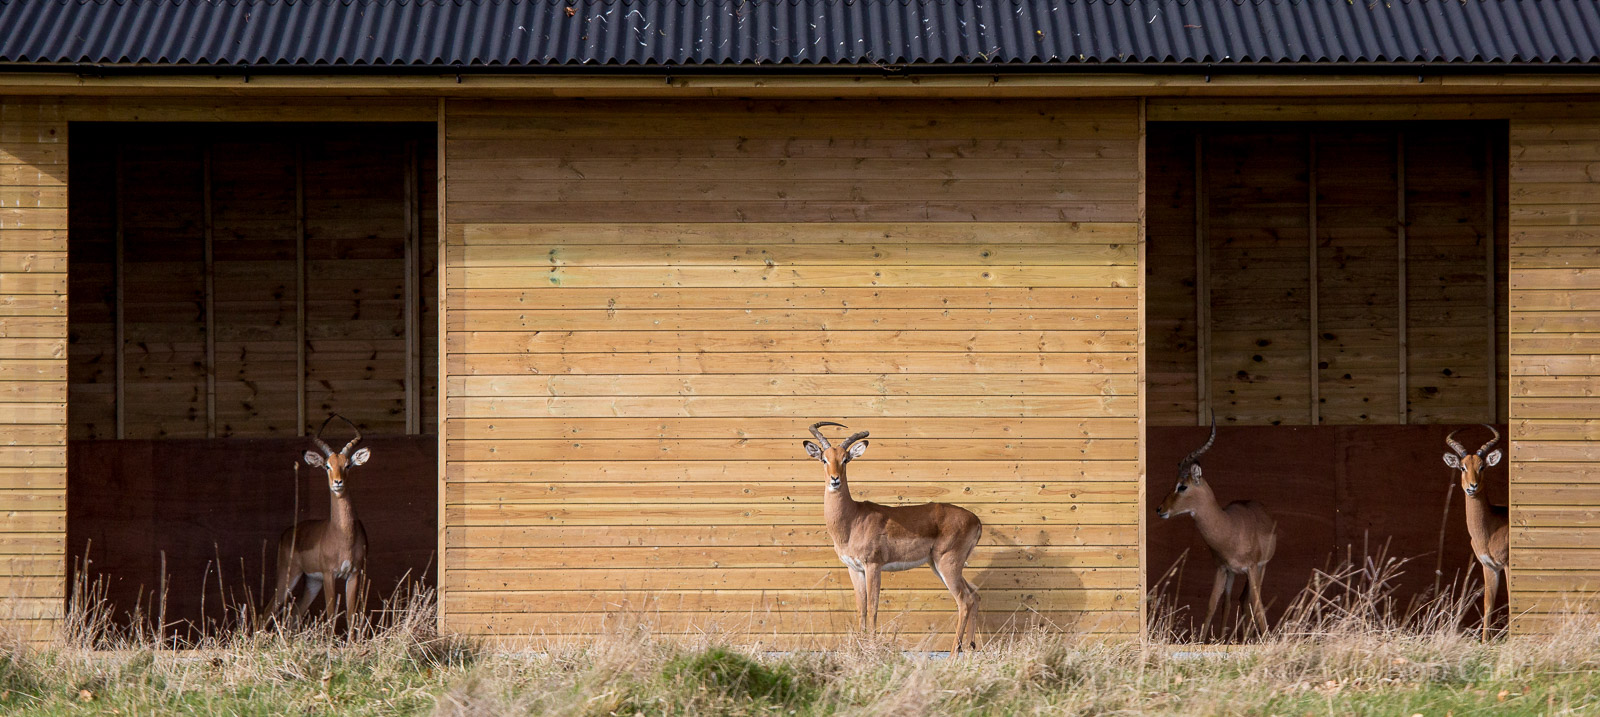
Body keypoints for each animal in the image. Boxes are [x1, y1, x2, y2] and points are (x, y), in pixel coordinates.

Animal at [261, 414, 370, 636]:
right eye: (327, 465)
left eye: (348, 465)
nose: (337, 482)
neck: (342, 535)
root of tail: (288, 532)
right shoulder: (329, 574)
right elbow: (331, 614)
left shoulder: (354, 574)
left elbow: (351, 615)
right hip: (289, 576)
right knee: (268, 611)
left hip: (312, 582)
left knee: (294, 613)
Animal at [802, 422, 985, 655]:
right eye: (824, 459)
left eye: (845, 459)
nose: (835, 480)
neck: (852, 520)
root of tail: (976, 520)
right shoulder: (855, 569)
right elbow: (861, 609)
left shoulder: (873, 565)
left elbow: (873, 607)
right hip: (940, 565)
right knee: (975, 595)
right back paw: (970, 649)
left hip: (948, 564)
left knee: (964, 600)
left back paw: (954, 654)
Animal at [1156, 421, 1277, 640]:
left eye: (1182, 486)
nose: (1160, 509)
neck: (1230, 527)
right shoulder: (1222, 568)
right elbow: (1212, 605)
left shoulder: (1252, 567)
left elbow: (1258, 606)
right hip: (1233, 574)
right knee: (1232, 601)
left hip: (1261, 568)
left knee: (1249, 601)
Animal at [1442, 425, 1508, 641]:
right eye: (1463, 467)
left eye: (1482, 467)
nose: (1472, 486)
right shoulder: (1489, 566)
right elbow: (1488, 604)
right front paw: (1485, 641)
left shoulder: (1507, 564)